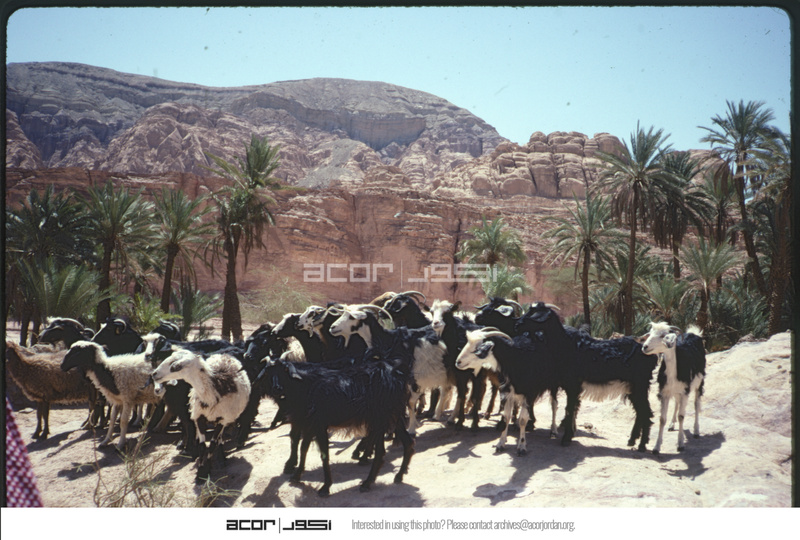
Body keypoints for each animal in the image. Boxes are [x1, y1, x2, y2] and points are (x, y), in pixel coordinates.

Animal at [150, 348, 251, 481]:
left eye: (176, 366)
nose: (154, 374)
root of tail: (224, 355)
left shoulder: (222, 419)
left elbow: (212, 444)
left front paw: (203, 472)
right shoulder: (199, 417)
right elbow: (203, 445)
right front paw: (201, 469)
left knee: (219, 438)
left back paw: (221, 458)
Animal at [256, 356, 414, 496]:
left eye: (284, 370)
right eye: (268, 372)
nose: (277, 388)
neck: (305, 385)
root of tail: (396, 372)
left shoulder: (319, 424)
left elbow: (324, 454)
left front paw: (325, 487)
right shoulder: (309, 424)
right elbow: (303, 448)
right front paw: (296, 475)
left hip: (380, 419)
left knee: (381, 453)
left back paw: (367, 482)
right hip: (394, 417)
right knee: (408, 442)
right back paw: (399, 476)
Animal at [328, 304, 450, 435]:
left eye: (351, 317)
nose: (332, 328)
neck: (389, 340)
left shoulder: (413, 377)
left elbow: (409, 402)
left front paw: (411, 429)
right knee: (446, 389)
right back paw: (440, 412)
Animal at [514, 303, 659, 451]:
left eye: (535, 313)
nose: (517, 324)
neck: (566, 345)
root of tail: (651, 356)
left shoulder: (573, 385)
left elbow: (569, 409)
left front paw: (566, 438)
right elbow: (571, 409)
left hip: (640, 384)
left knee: (646, 412)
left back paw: (642, 445)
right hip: (633, 387)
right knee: (640, 411)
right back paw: (632, 440)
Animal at [641, 322, 706, 454]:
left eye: (663, 335)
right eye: (650, 333)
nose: (645, 347)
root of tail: (694, 333)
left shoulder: (685, 391)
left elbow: (682, 416)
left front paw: (680, 444)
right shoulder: (665, 392)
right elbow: (662, 419)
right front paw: (656, 447)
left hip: (699, 382)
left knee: (696, 404)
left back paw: (696, 431)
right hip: (676, 390)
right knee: (677, 402)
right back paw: (672, 425)